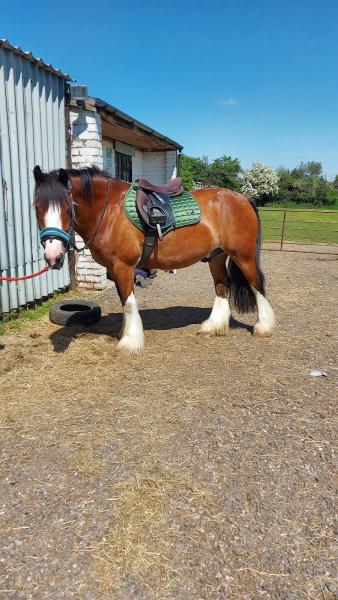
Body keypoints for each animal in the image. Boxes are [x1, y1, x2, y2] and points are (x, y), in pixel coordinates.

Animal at [33, 165, 274, 352]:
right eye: (37, 207)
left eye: (68, 208)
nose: (53, 257)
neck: (109, 210)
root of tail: (243, 198)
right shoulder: (116, 270)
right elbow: (124, 302)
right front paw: (125, 333)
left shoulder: (123, 267)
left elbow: (129, 303)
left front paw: (130, 342)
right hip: (216, 257)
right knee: (222, 286)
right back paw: (213, 327)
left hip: (244, 256)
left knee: (257, 284)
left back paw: (263, 327)